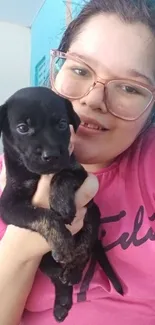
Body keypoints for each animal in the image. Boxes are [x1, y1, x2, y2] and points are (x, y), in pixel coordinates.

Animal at [0, 86, 123, 322]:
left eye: (61, 124)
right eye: (23, 128)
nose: (52, 155)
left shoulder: (78, 171)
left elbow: (62, 175)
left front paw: (61, 202)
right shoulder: (8, 205)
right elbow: (42, 215)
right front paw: (63, 243)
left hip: (93, 215)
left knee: (84, 248)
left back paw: (73, 272)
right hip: (44, 261)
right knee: (56, 276)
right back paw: (62, 301)